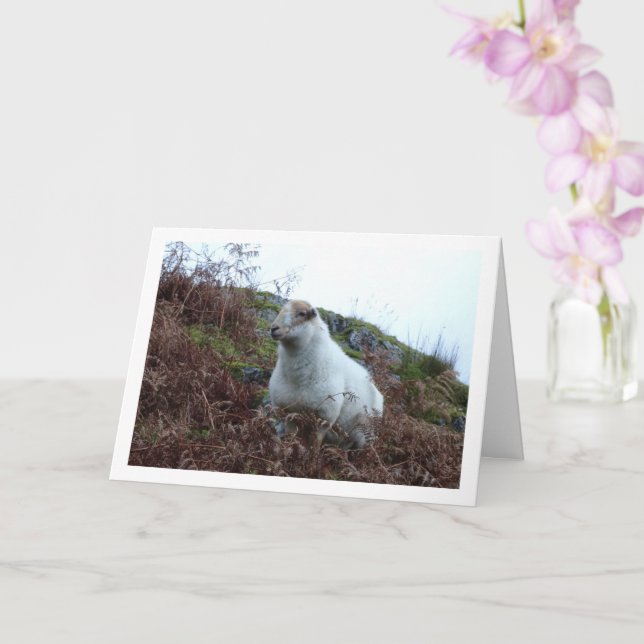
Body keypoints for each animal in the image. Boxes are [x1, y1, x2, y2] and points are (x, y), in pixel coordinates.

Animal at [268, 299, 384, 448]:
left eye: (301, 313)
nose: (274, 328)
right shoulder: (289, 413)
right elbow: (290, 439)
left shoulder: (325, 417)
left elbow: (316, 444)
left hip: (365, 434)